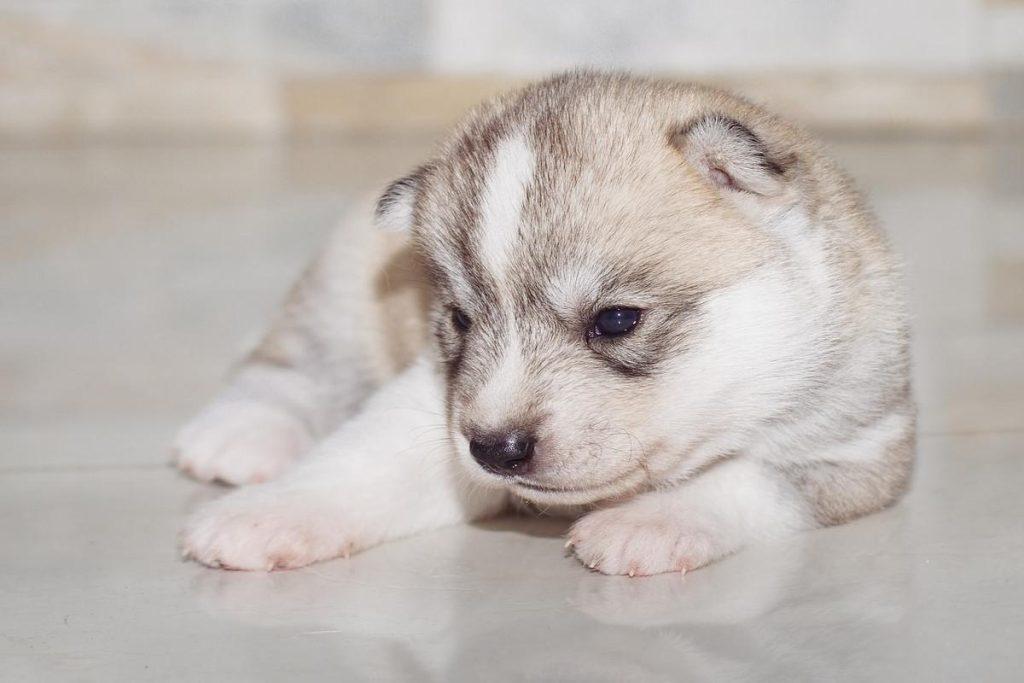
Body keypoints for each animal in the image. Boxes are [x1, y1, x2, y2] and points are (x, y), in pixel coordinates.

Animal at [176, 72, 913, 577]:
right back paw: (241, 432)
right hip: (343, 284)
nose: (494, 449)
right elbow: (362, 460)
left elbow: (740, 476)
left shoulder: (856, 450)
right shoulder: (430, 403)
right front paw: (267, 514)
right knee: (292, 360)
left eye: (615, 320)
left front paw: (649, 522)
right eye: (460, 319)